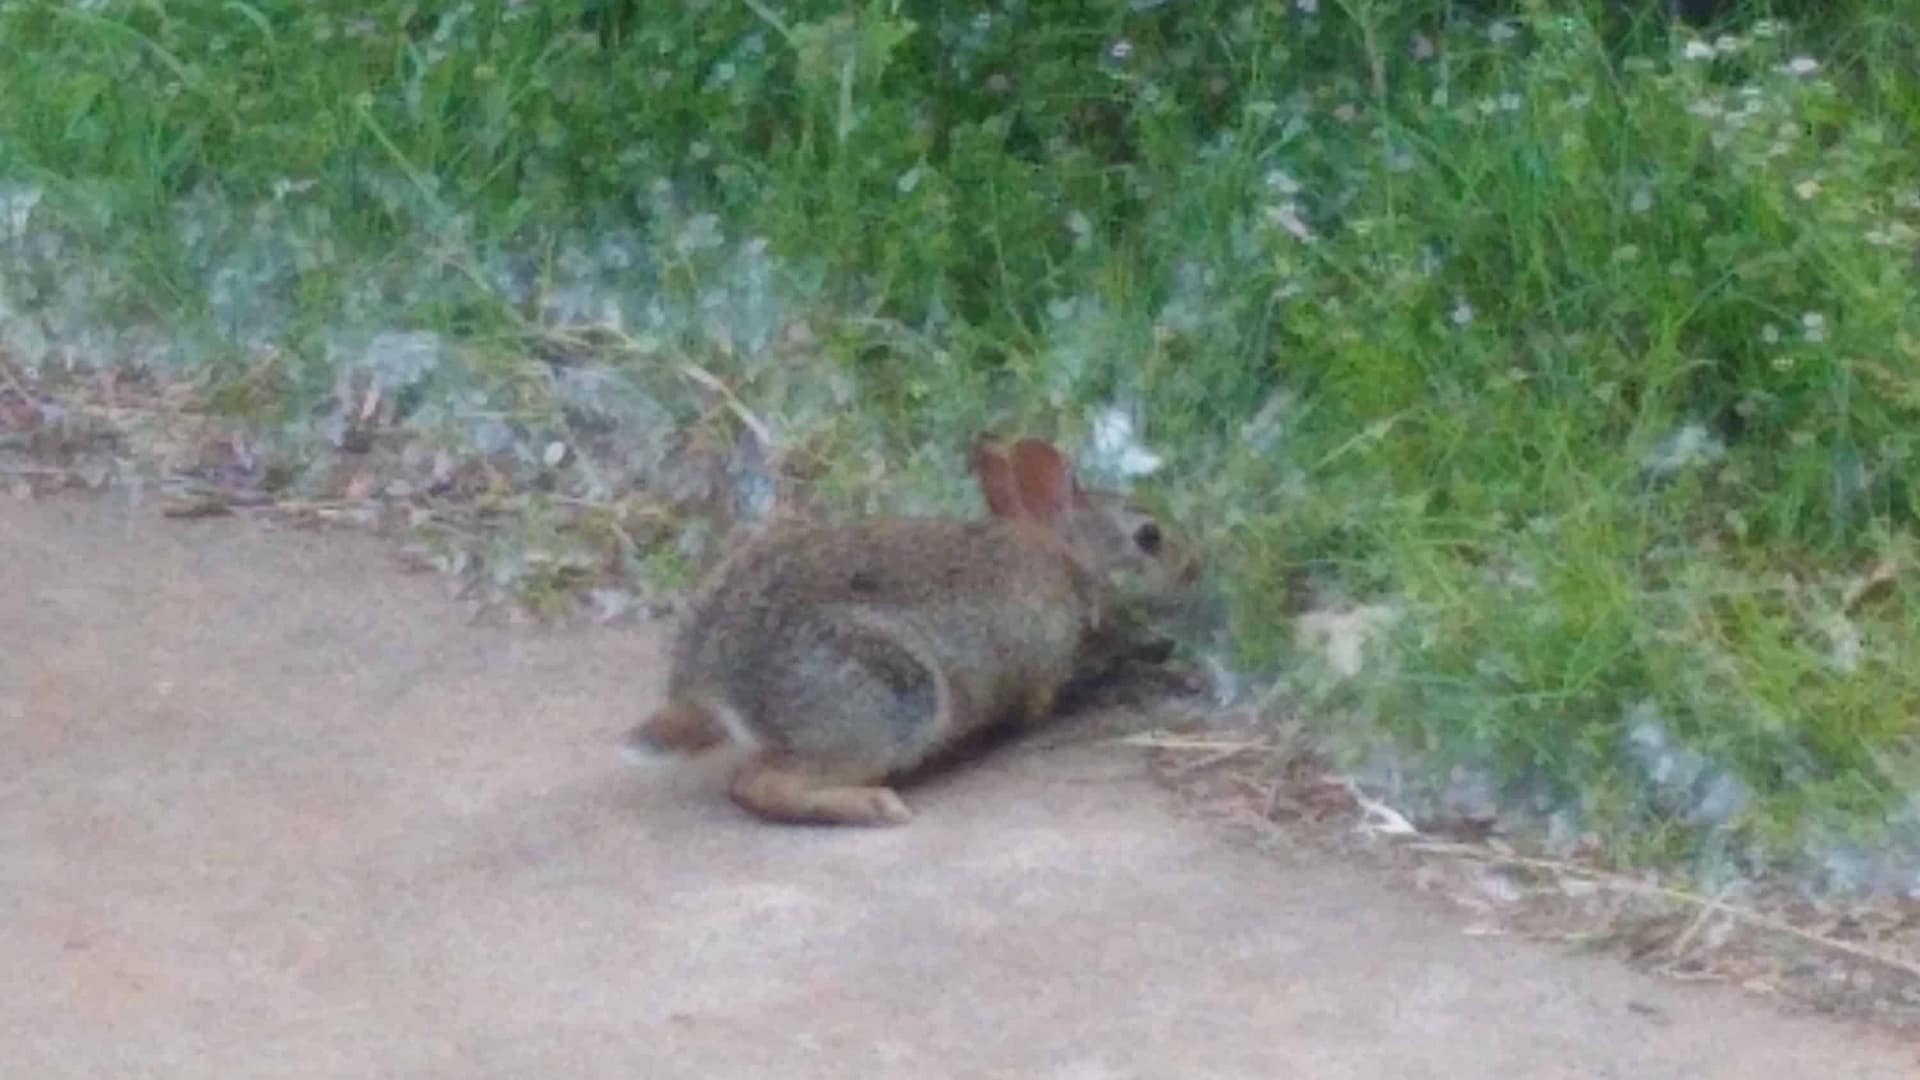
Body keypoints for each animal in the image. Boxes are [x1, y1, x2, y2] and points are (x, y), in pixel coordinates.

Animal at [624, 435, 1200, 826]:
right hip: (892, 697)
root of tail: (711, 686)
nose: (1194, 567)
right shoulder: (1039, 664)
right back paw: (876, 806)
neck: (1061, 556)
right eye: (1148, 537)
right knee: (758, 785)